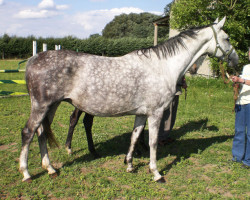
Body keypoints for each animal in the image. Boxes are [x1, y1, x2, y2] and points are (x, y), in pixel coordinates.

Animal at [19, 17, 238, 183]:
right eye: (227, 38)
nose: (236, 60)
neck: (162, 66)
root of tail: (33, 59)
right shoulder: (156, 113)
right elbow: (152, 142)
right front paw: (156, 173)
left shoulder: (141, 114)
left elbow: (134, 137)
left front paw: (130, 165)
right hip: (42, 106)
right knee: (28, 132)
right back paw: (27, 173)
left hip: (51, 107)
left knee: (41, 133)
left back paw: (50, 169)